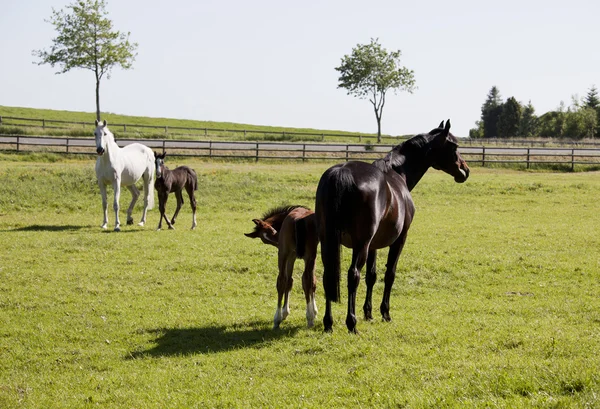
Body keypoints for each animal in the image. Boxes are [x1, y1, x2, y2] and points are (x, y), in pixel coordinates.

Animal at [314, 118, 468, 332]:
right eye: (454, 146)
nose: (465, 170)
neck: (397, 174)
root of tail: (342, 172)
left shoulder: (373, 245)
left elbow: (371, 276)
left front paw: (368, 313)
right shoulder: (399, 239)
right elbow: (389, 274)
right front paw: (385, 313)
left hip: (329, 241)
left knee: (329, 275)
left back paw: (328, 323)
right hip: (360, 244)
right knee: (353, 275)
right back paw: (351, 323)